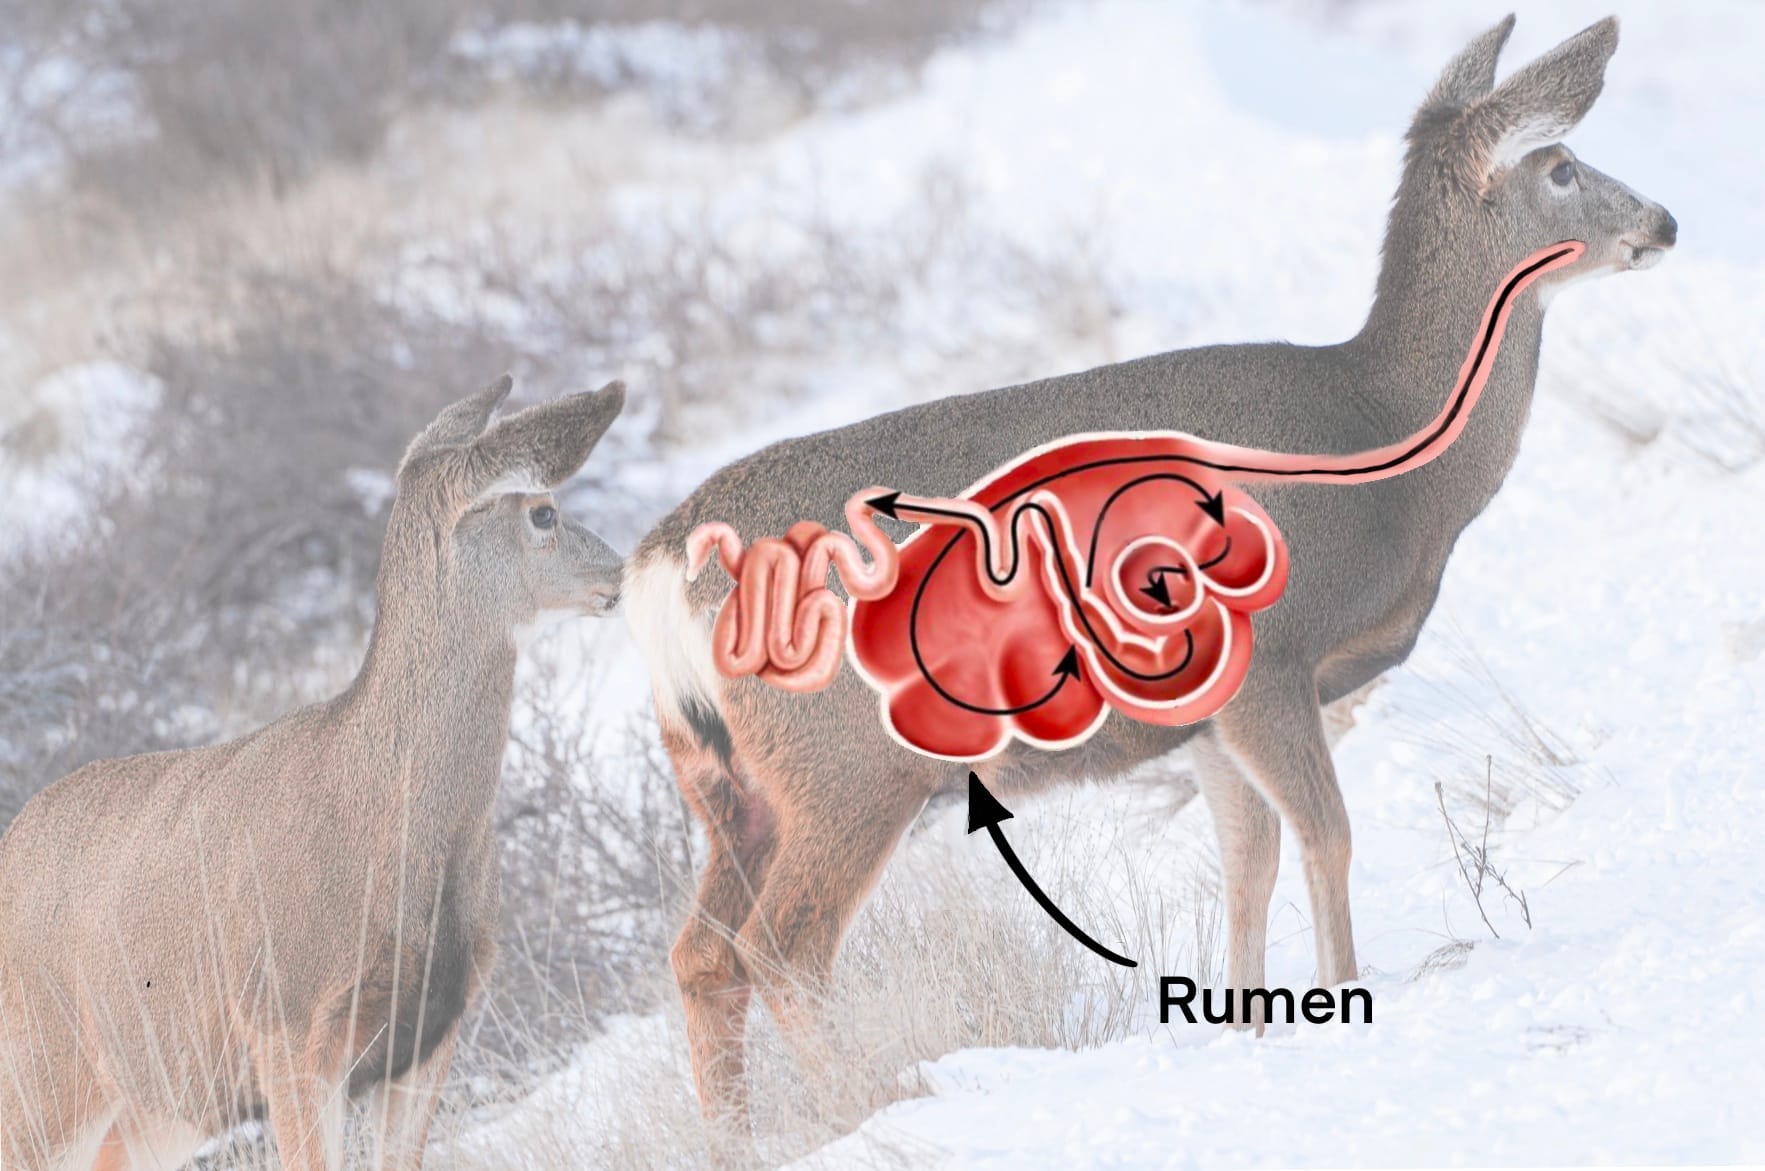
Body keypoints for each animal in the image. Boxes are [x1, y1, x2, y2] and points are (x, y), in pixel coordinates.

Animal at [0, 376, 625, 1170]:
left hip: (154, 1104)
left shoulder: (433, 1032)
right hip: (41, 1071)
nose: (620, 570)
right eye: (543, 511)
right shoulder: (290, 1024)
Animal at [623, 14, 1676, 1120]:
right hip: (848, 766)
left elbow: (1247, 861)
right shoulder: (1270, 661)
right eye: (1560, 165)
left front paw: (1250, 1026)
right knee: (782, 947)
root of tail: (661, 564)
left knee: (700, 955)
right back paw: (862, 1102)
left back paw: (743, 1134)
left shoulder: (1208, 715)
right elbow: (1327, 834)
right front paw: (1345, 999)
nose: (1666, 218)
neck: (1389, 454)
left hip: (728, 783)